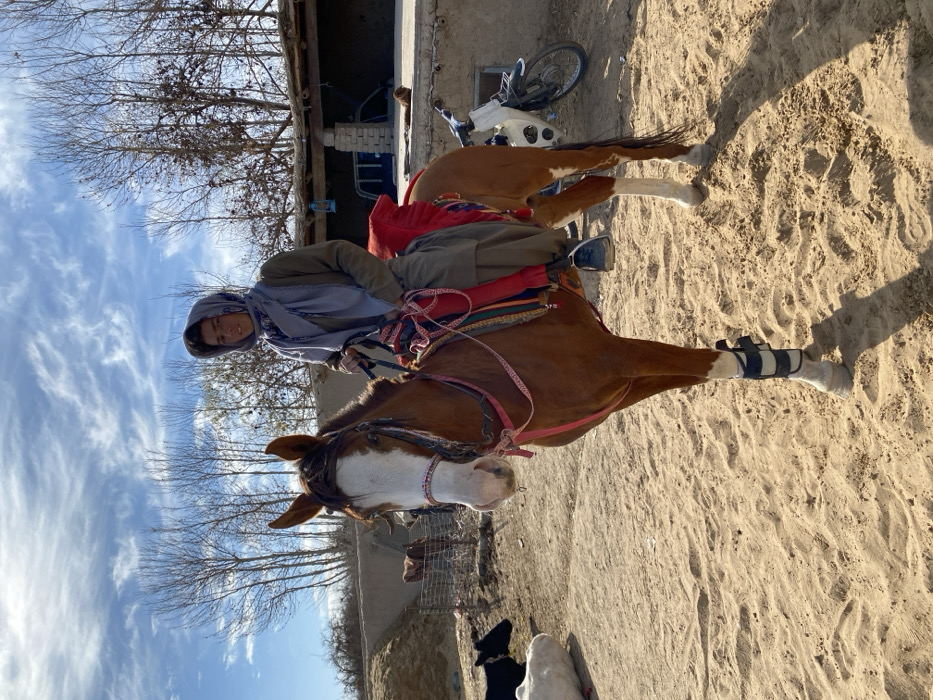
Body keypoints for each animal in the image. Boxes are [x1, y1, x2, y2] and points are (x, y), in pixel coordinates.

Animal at [265, 272, 853, 529]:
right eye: (380, 513)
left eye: (379, 436)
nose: (485, 489)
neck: (486, 387)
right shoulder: (624, 387)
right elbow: (697, 375)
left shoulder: (619, 357)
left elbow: (720, 366)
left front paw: (819, 372)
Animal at [406, 131, 712, 229]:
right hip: (545, 211)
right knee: (598, 184)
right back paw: (688, 195)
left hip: (545, 168)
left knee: (607, 154)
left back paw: (693, 154)